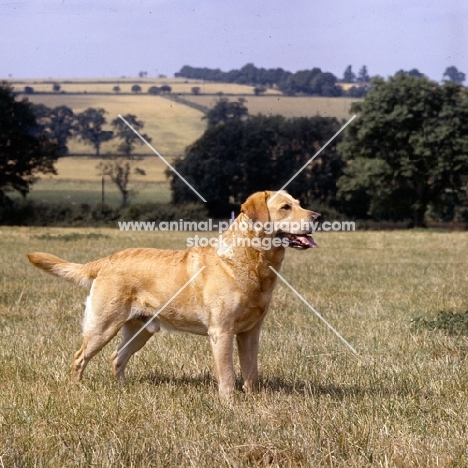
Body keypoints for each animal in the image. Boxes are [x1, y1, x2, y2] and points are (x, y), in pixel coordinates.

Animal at [28, 190, 318, 398]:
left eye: (299, 203)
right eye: (285, 207)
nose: (317, 217)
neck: (251, 261)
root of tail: (107, 260)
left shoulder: (250, 332)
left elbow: (251, 372)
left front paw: (254, 400)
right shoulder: (221, 331)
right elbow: (226, 374)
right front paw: (229, 403)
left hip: (140, 330)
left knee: (116, 357)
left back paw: (123, 389)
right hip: (103, 326)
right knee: (80, 357)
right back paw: (77, 389)